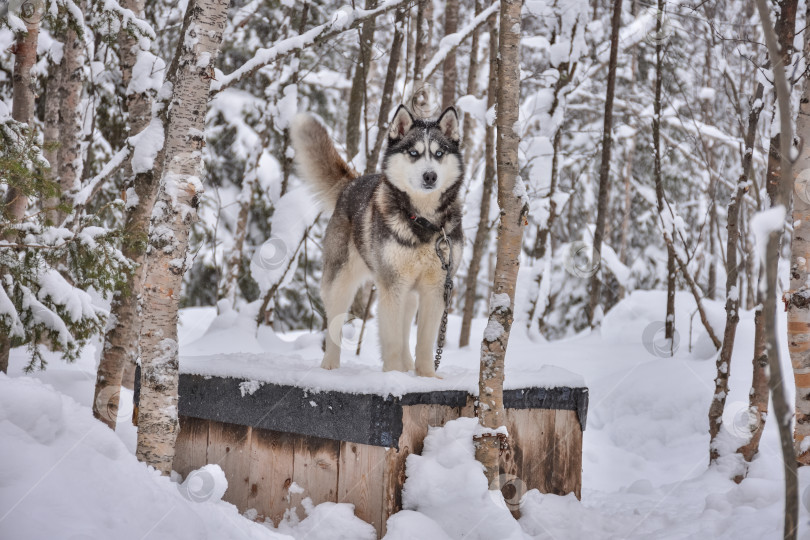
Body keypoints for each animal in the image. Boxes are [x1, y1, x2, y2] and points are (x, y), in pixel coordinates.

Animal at [290, 104, 460, 376]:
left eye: (439, 153)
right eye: (414, 153)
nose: (430, 176)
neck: (422, 222)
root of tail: (352, 183)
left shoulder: (435, 288)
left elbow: (424, 343)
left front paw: (426, 376)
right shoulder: (392, 285)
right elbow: (391, 341)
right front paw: (393, 377)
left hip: (408, 294)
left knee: (405, 330)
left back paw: (407, 365)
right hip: (341, 283)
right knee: (334, 324)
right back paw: (330, 364)